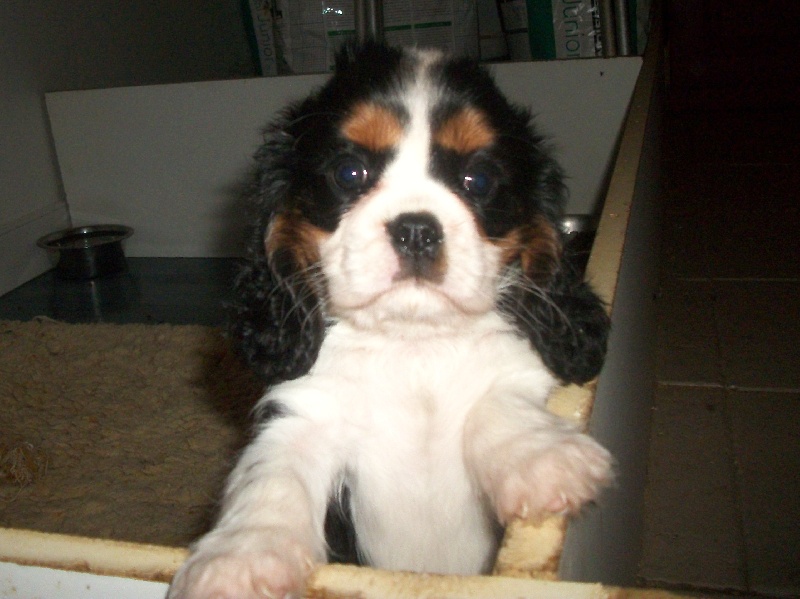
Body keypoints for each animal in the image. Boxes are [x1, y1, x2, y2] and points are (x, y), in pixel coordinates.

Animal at [169, 42, 612, 599]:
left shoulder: (515, 371)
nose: (416, 229)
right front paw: (242, 557)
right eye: (349, 173)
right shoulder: (304, 410)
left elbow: (499, 404)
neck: (411, 345)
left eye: (479, 180)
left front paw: (546, 460)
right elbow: (273, 472)